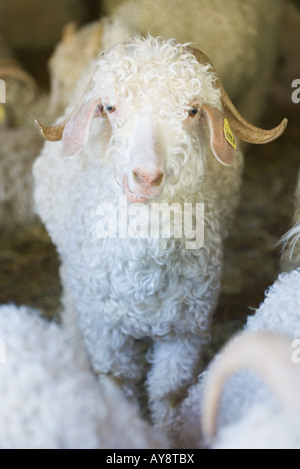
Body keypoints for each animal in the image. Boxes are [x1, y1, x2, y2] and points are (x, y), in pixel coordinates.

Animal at [32, 35, 286, 438]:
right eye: (110, 107)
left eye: (193, 110)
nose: (146, 177)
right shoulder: (107, 329)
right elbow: (117, 382)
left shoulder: (186, 329)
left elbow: (168, 392)